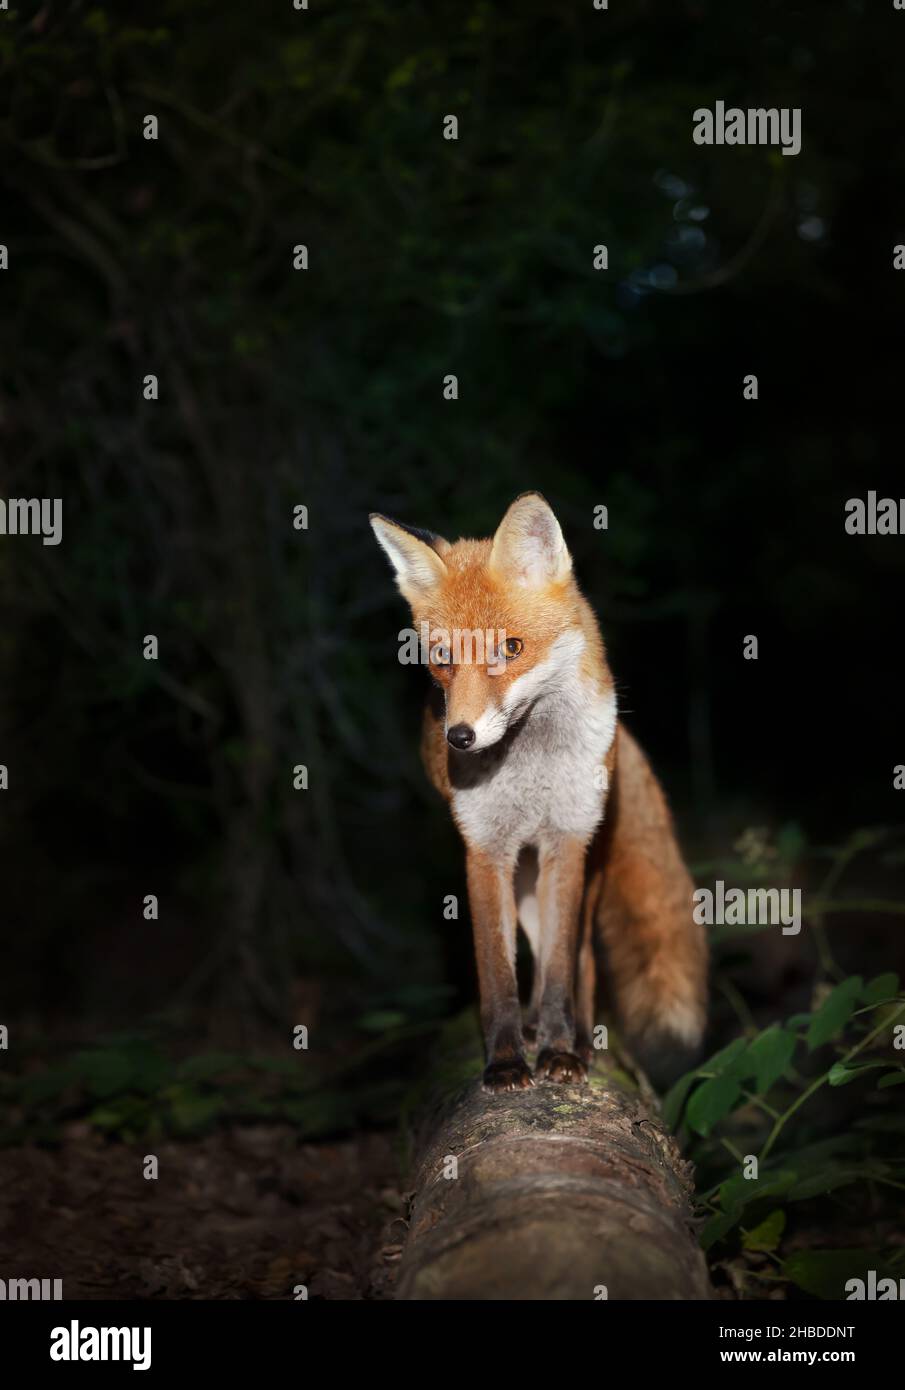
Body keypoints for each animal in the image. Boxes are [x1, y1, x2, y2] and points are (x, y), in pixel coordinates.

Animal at [370, 492, 707, 1093]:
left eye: (511, 647)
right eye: (442, 658)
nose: (459, 737)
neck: (532, 768)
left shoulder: (566, 842)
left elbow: (558, 969)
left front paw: (560, 1052)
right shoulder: (487, 852)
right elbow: (497, 976)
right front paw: (506, 1060)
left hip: (587, 869)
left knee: (585, 961)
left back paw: (583, 1039)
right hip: (524, 882)